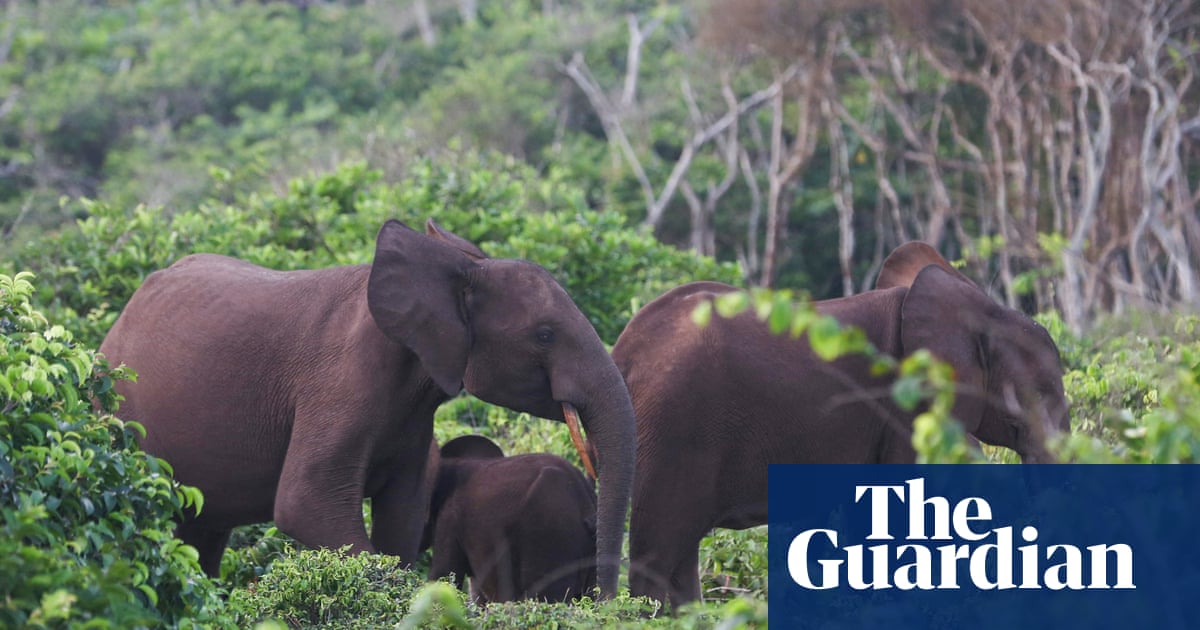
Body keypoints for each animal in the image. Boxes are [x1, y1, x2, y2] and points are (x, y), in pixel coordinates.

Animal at [611, 241, 1070, 608]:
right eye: (1038, 395)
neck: (979, 308)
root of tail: (623, 350)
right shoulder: (906, 407)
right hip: (673, 425)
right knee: (659, 553)